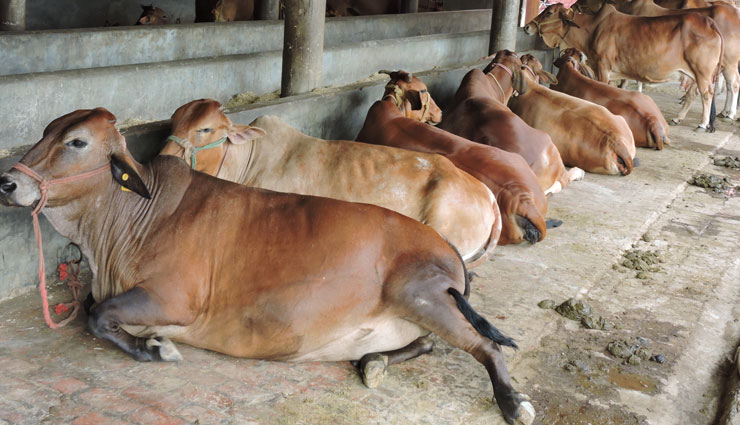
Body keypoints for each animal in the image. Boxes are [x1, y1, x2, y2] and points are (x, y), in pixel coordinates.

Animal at [526, 3, 724, 131]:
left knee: (707, 94)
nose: (527, 27)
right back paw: (678, 118)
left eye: (549, 12)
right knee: (693, 94)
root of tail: (710, 23)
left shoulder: (603, 66)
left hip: (702, 72)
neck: (592, 29)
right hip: (693, 74)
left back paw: (702, 124)